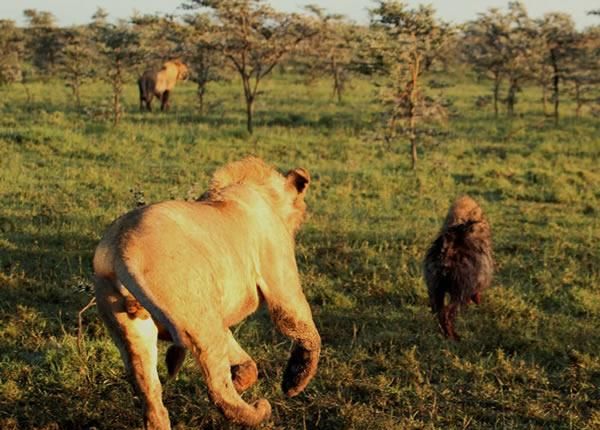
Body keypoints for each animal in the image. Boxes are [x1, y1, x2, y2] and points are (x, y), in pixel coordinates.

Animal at [92, 159, 322, 430]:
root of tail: (122, 250)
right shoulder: (282, 287)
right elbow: (307, 332)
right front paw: (293, 382)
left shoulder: (216, 316)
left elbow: (238, 351)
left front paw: (243, 377)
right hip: (199, 320)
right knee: (218, 390)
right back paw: (259, 410)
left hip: (136, 330)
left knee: (152, 400)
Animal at [422, 197, 492, 340]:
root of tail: (446, 251)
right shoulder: (476, 284)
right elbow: (477, 295)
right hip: (459, 292)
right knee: (448, 313)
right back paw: (454, 336)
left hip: (435, 289)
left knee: (439, 312)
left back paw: (446, 333)